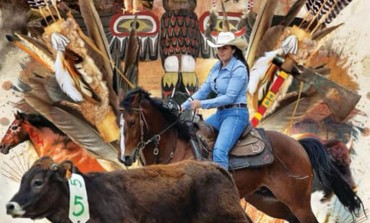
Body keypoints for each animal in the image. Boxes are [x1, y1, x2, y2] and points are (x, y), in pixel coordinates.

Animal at [120, 88, 362, 223]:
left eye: (131, 122)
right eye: (119, 121)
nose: (125, 158)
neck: (175, 148)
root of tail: (297, 144)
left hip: (297, 200)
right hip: (268, 201)